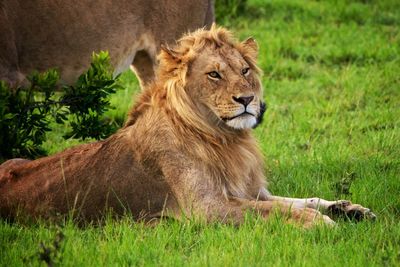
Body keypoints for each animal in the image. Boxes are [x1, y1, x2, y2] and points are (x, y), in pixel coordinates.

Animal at [0, 25, 376, 227]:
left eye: (245, 70)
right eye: (214, 74)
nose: (247, 99)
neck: (225, 139)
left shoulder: (250, 190)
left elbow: (298, 200)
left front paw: (349, 209)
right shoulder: (208, 209)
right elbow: (271, 211)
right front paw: (321, 223)